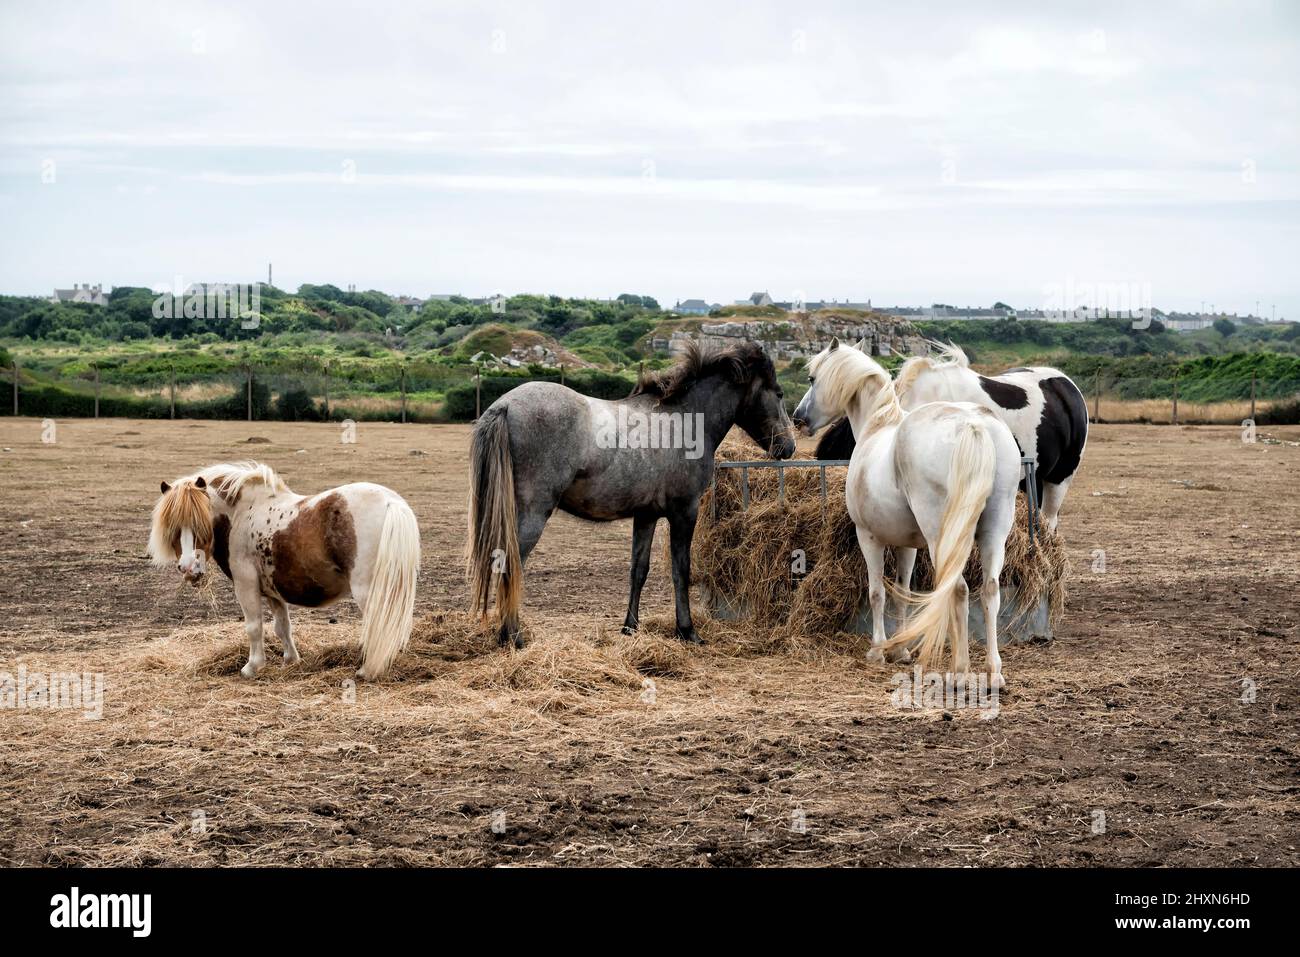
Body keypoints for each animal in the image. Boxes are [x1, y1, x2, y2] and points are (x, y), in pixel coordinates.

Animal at [148, 462, 420, 680]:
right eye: (173, 529)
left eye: (202, 525)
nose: (188, 568)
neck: (242, 513)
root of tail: (391, 502)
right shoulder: (273, 591)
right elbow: (282, 626)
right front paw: (291, 660)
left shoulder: (246, 585)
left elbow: (254, 626)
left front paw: (252, 667)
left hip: (368, 591)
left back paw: (368, 670)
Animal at [467, 340, 796, 648]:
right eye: (779, 393)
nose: (788, 447)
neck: (684, 418)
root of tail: (505, 406)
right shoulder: (684, 513)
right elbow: (681, 571)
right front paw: (687, 630)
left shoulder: (646, 516)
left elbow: (639, 570)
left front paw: (630, 627)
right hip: (533, 514)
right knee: (510, 565)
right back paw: (514, 637)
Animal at [793, 338, 1021, 687]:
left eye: (812, 378)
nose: (798, 419)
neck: (877, 427)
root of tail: (973, 424)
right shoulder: (908, 545)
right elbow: (902, 592)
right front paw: (899, 651)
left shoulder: (868, 537)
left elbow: (876, 593)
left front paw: (877, 650)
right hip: (995, 531)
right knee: (989, 590)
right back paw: (993, 673)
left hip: (942, 537)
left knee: (957, 589)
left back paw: (960, 671)